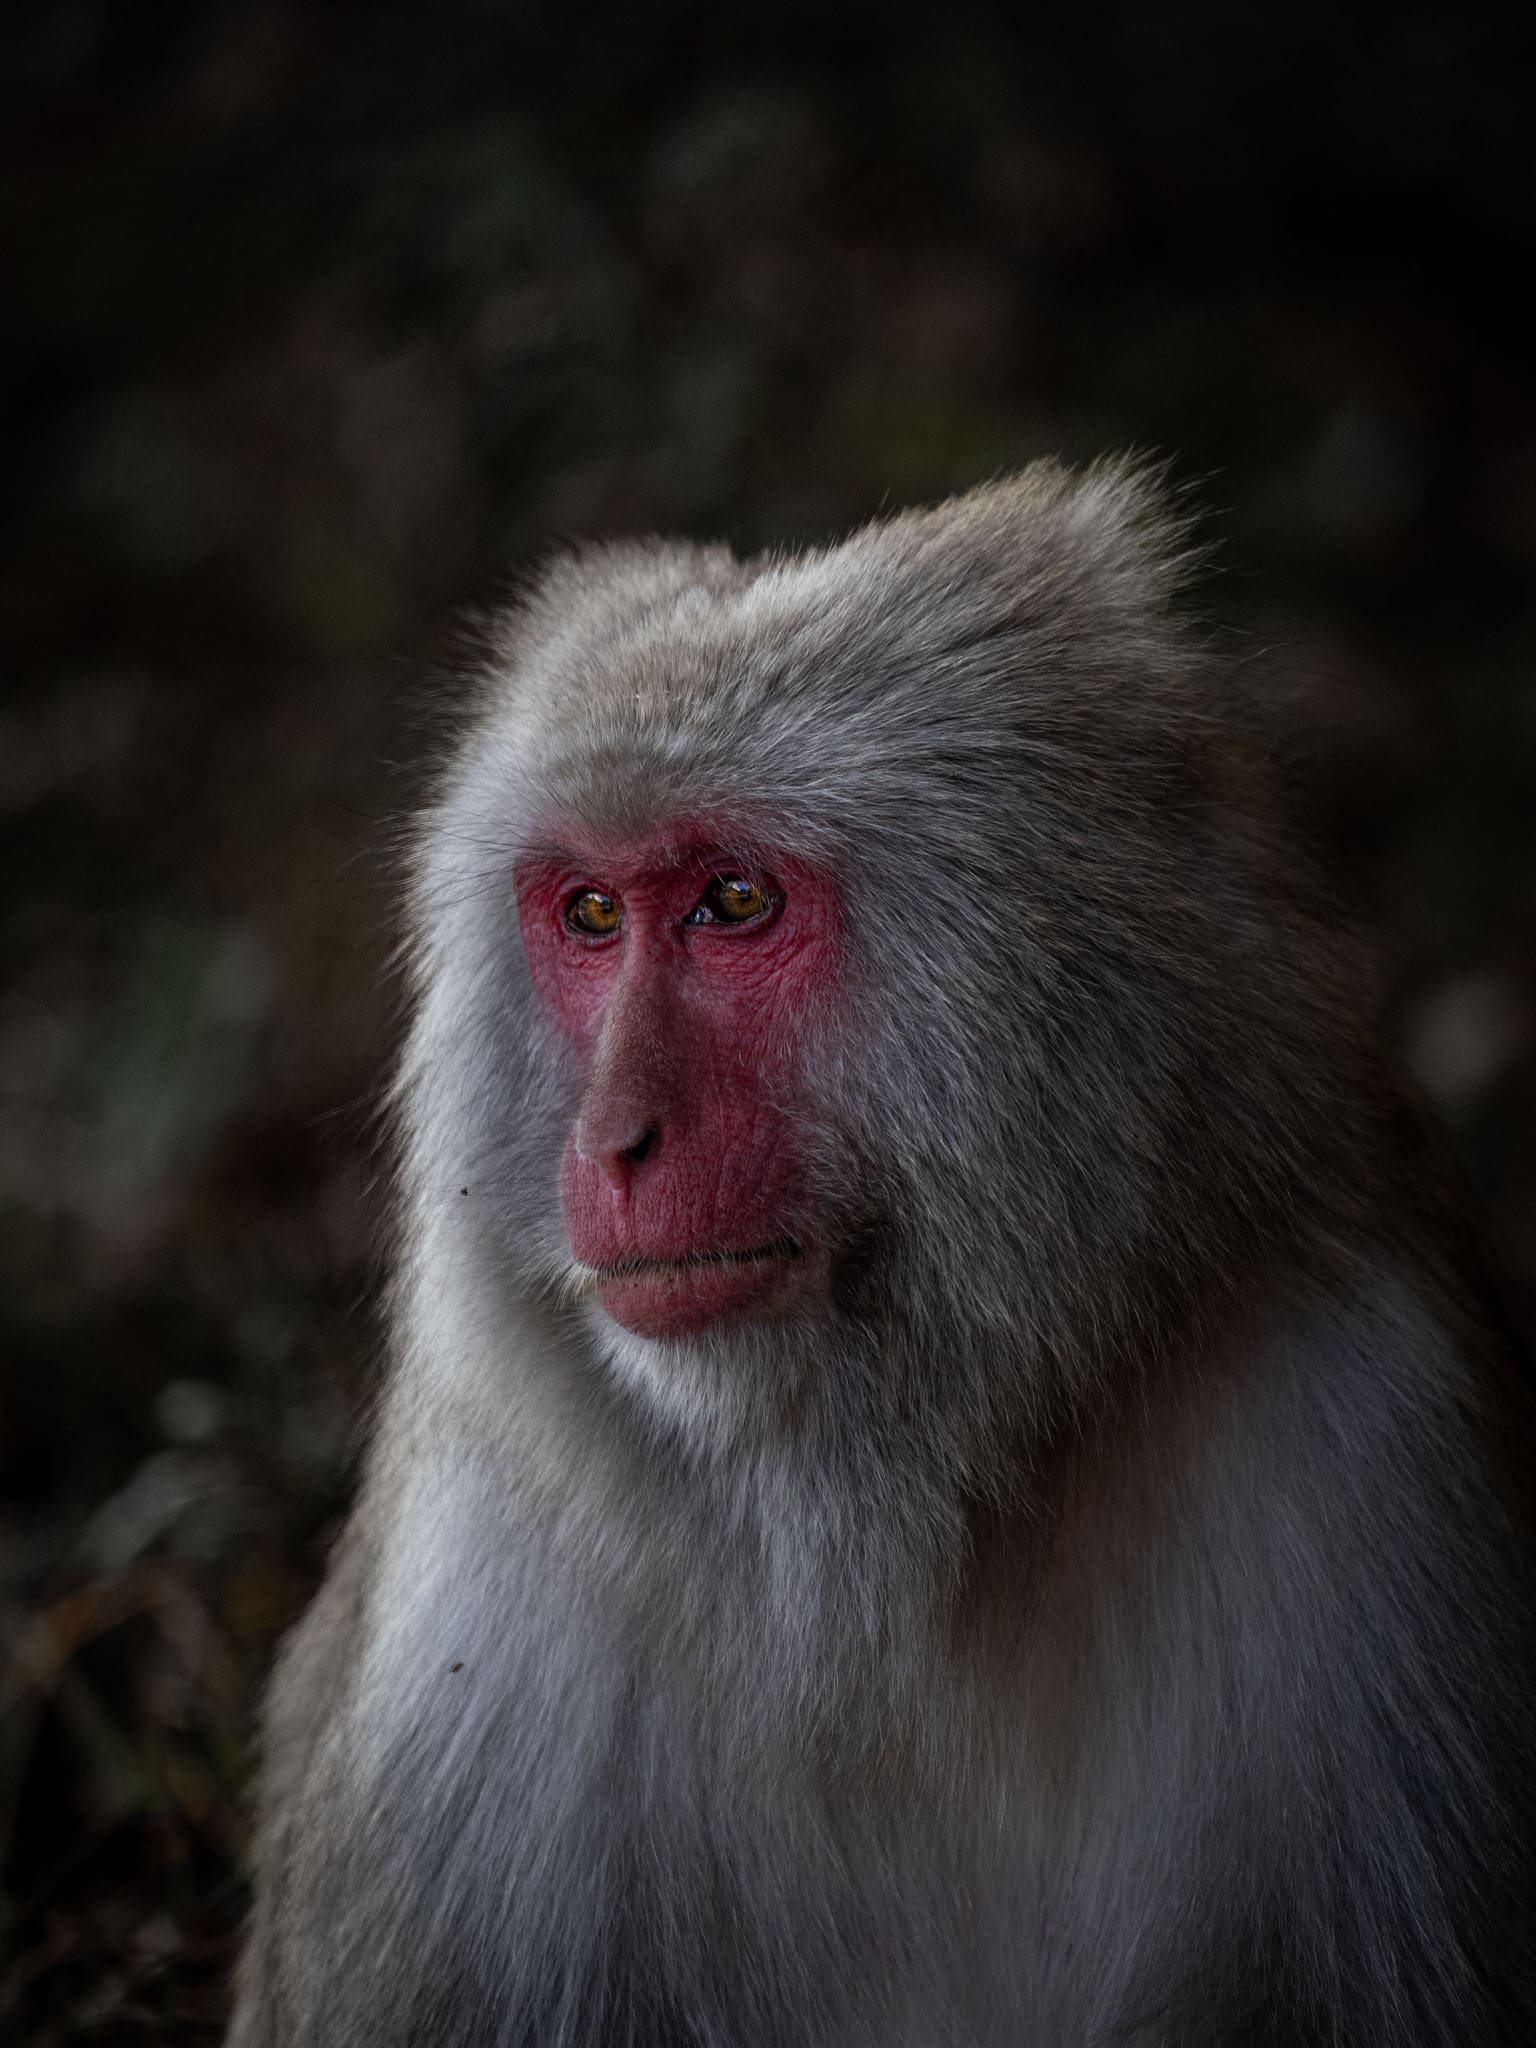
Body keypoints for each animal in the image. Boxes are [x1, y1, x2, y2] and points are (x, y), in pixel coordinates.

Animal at [227, 460, 1536, 2047]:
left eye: (733, 902)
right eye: (591, 913)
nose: (611, 1141)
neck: (896, 1542)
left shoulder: (1378, 1448)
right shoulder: (468, 1627)